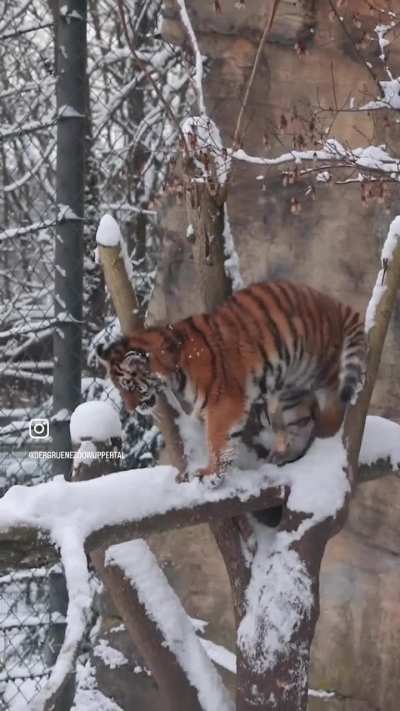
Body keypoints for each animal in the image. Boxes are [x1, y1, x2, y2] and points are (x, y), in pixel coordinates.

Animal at [97, 280, 365, 483]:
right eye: (121, 390)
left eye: (129, 387)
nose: (132, 408)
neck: (172, 369)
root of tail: (332, 302)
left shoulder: (223, 402)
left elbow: (216, 439)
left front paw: (211, 474)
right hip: (290, 390)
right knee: (302, 422)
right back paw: (285, 454)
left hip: (321, 367)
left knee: (334, 400)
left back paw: (328, 434)